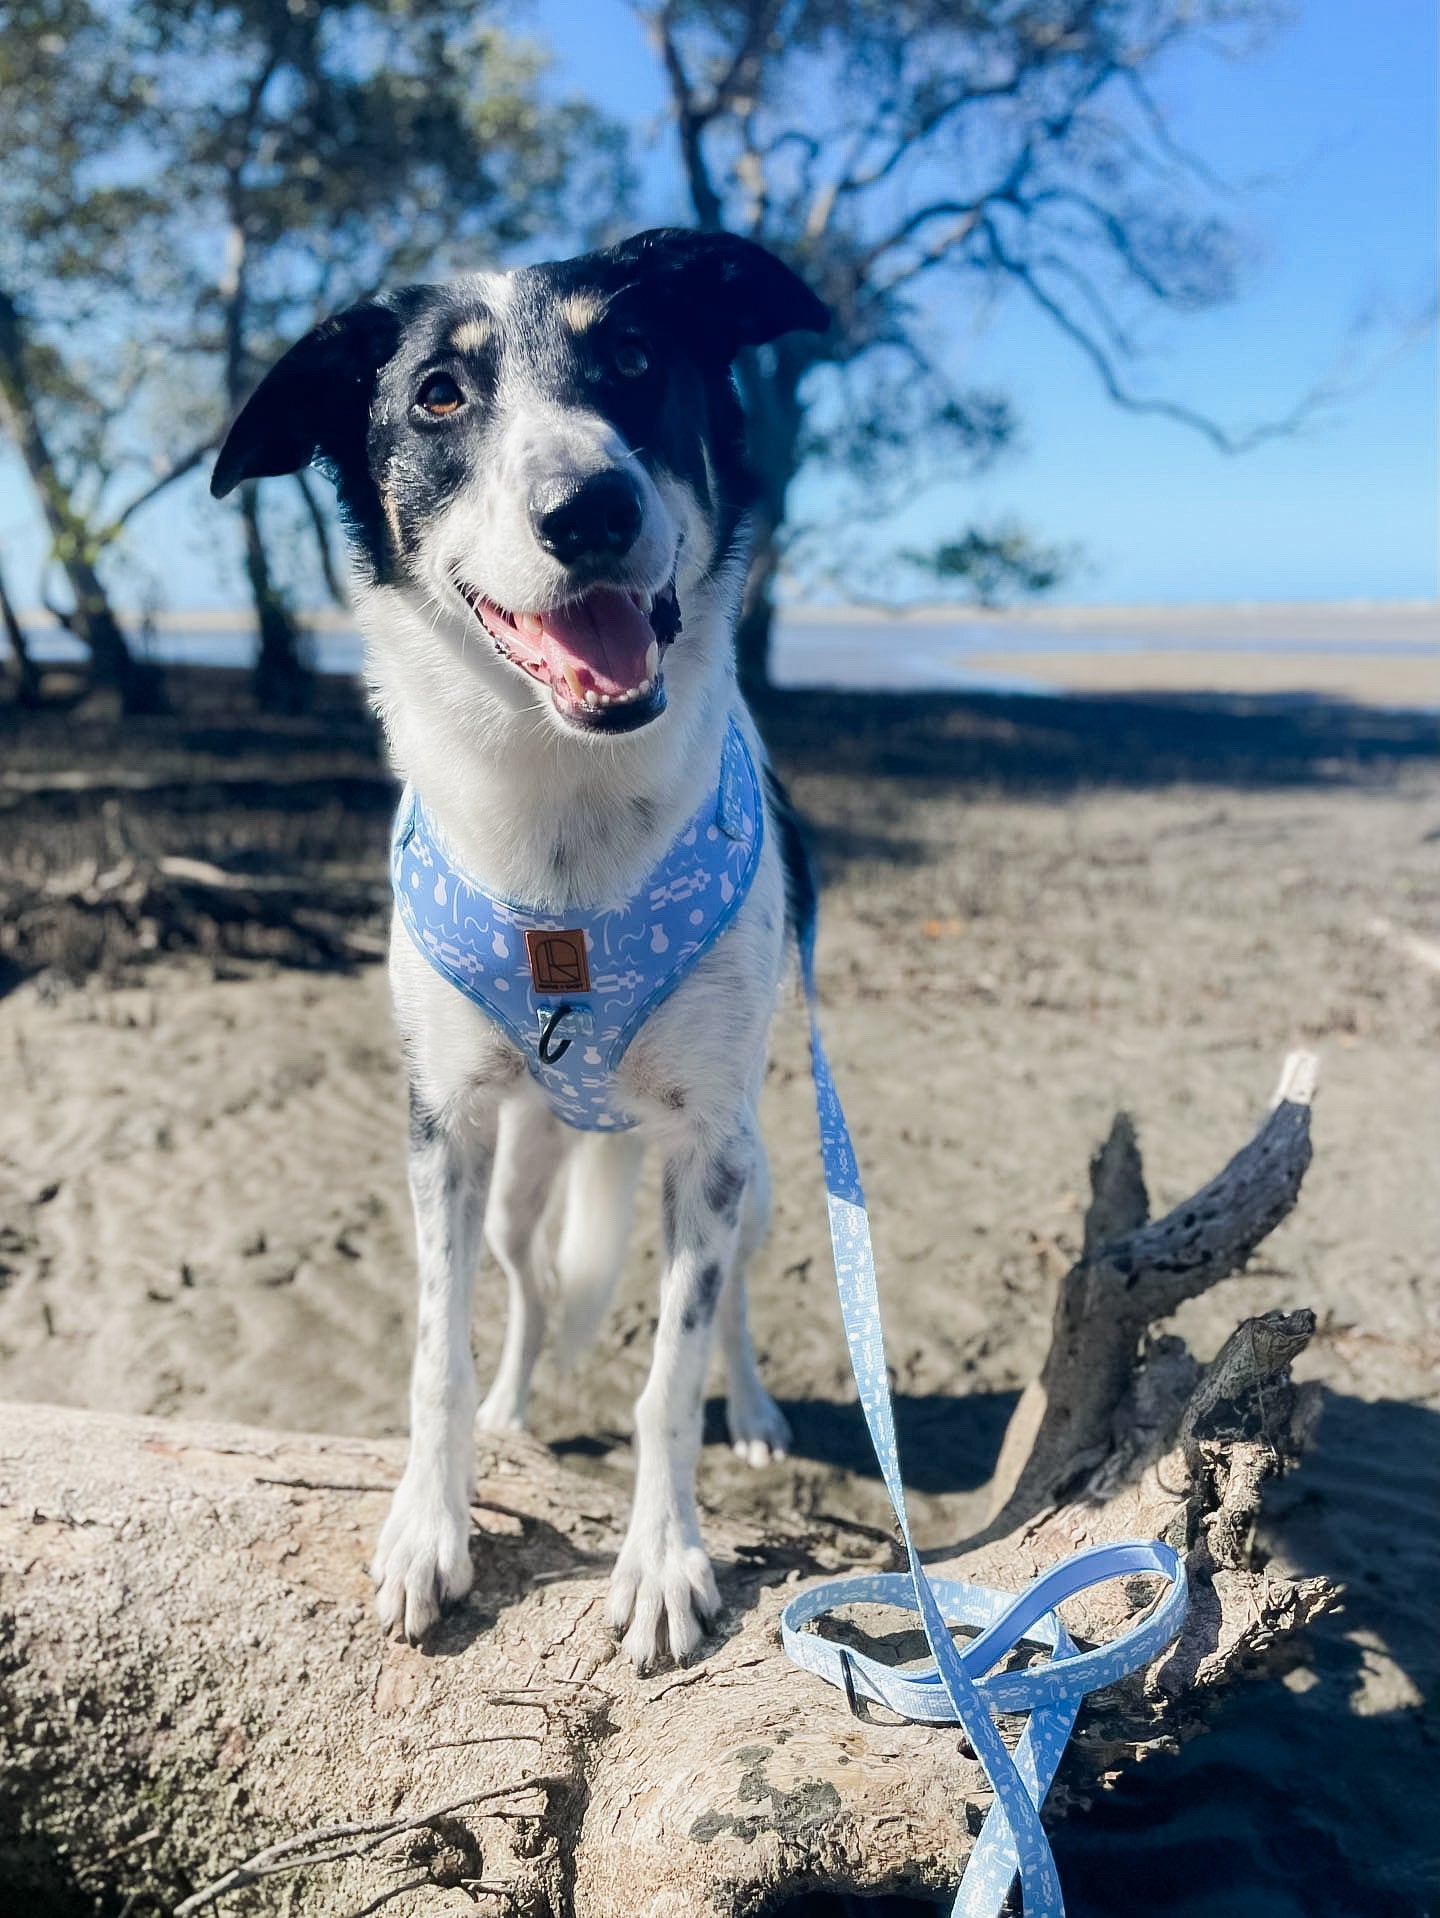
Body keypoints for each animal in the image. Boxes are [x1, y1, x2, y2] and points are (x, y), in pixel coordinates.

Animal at [208, 220, 828, 1664]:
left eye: (637, 357)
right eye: (439, 394)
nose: (589, 509)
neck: (563, 803)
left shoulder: (710, 1148)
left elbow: (668, 1375)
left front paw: (663, 1556)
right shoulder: (440, 1124)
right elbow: (434, 1348)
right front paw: (429, 1525)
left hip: (760, 1176)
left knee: (731, 1315)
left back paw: (758, 1415)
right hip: (514, 1178)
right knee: (531, 1289)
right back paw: (514, 1406)